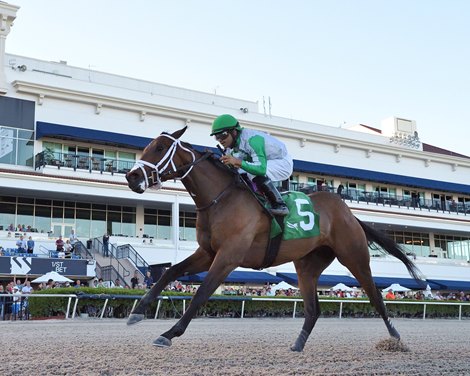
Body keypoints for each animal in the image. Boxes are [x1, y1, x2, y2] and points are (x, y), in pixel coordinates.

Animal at [124, 127, 422, 352]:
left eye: (160, 148)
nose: (132, 176)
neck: (221, 199)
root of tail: (348, 213)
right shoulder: (207, 253)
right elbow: (169, 272)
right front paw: (137, 312)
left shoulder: (228, 257)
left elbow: (201, 294)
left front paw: (169, 334)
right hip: (307, 266)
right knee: (313, 309)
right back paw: (297, 345)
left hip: (354, 257)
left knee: (376, 298)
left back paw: (396, 340)